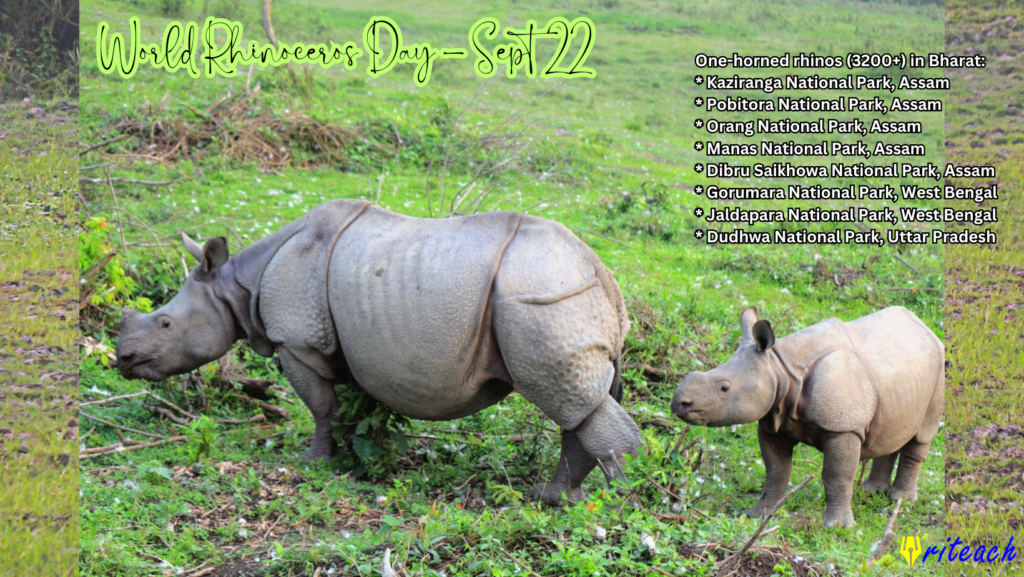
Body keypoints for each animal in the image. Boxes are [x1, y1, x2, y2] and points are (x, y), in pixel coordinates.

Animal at [116, 199, 641, 504]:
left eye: (166, 324)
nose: (123, 360)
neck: (235, 287)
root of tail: (602, 272)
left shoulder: (297, 340)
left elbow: (321, 407)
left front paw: (314, 462)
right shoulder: (350, 345)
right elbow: (356, 407)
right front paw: (355, 459)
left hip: (542, 296)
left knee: (564, 396)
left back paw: (624, 502)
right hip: (562, 294)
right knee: (578, 402)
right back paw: (555, 498)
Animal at [671, 306, 944, 527]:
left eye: (725, 388)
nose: (678, 404)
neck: (780, 369)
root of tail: (926, 326)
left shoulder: (842, 427)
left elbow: (836, 477)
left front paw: (837, 527)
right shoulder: (773, 421)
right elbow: (776, 471)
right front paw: (758, 515)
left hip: (941, 367)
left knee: (921, 435)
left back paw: (900, 500)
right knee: (891, 429)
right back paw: (871, 493)